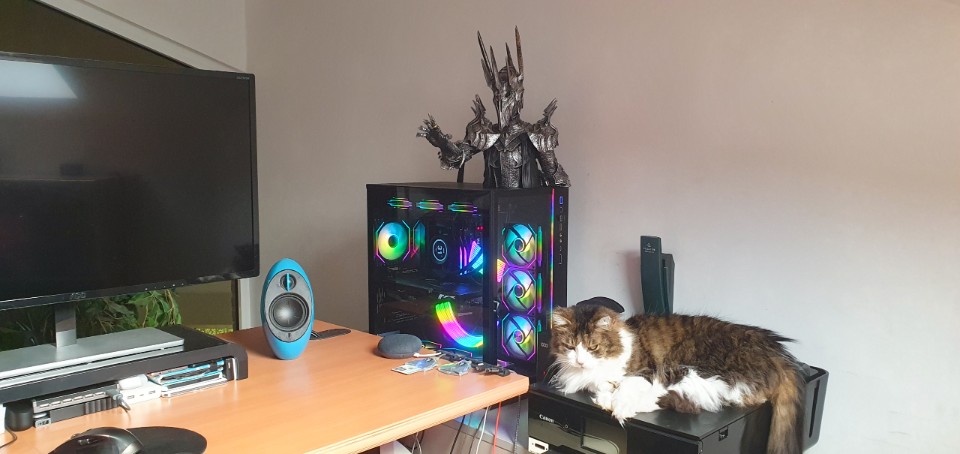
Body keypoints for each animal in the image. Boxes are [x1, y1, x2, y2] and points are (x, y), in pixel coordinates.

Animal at [549, 303, 804, 454]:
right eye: (570, 346)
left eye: (592, 347)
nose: (580, 361)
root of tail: (777, 353)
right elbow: (603, 388)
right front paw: (605, 398)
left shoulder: (643, 372)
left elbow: (625, 388)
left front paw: (617, 406)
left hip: (694, 371)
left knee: (683, 401)